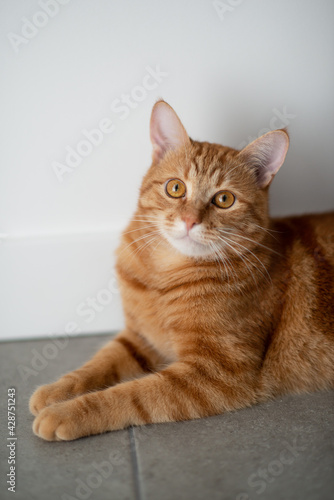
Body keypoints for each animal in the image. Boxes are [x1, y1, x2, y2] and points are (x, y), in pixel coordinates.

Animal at [30, 99, 334, 440]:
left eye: (224, 199)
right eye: (175, 188)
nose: (190, 221)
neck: (163, 276)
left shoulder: (217, 372)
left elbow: (130, 395)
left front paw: (67, 412)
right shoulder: (139, 339)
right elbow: (96, 365)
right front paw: (57, 390)